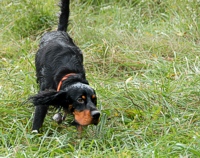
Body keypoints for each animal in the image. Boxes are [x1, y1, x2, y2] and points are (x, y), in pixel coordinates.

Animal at [30, 0, 100, 133]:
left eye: (94, 99)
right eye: (80, 99)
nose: (97, 114)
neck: (68, 73)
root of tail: (58, 31)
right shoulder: (44, 93)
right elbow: (38, 116)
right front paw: (34, 135)